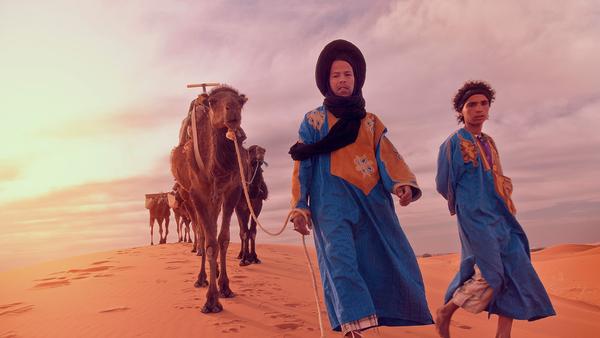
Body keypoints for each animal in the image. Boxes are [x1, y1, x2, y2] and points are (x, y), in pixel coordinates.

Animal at [170, 85, 247, 314]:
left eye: (241, 102)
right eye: (213, 102)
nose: (233, 110)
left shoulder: (232, 190)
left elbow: (223, 239)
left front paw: (225, 287)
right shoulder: (198, 194)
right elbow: (209, 241)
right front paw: (211, 300)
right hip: (190, 197)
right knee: (202, 234)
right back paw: (201, 278)